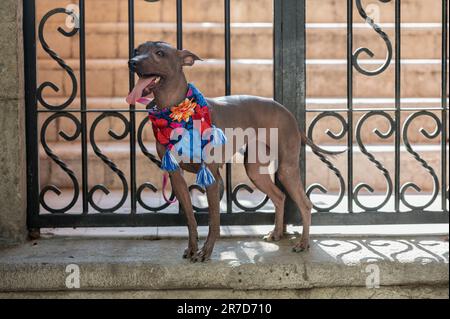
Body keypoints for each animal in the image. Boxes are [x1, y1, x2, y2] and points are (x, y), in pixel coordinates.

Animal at [125, 41, 338, 262]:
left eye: (160, 53)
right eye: (137, 50)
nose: (132, 62)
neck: (176, 111)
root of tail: (290, 115)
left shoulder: (212, 177)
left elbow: (214, 221)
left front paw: (205, 252)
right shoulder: (177, 176)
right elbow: (191, 219)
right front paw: (192, 248)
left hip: (286, 169)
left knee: (305, 204)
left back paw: (303, 243)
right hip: (255, 171)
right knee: (280, 196)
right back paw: (277, 233)